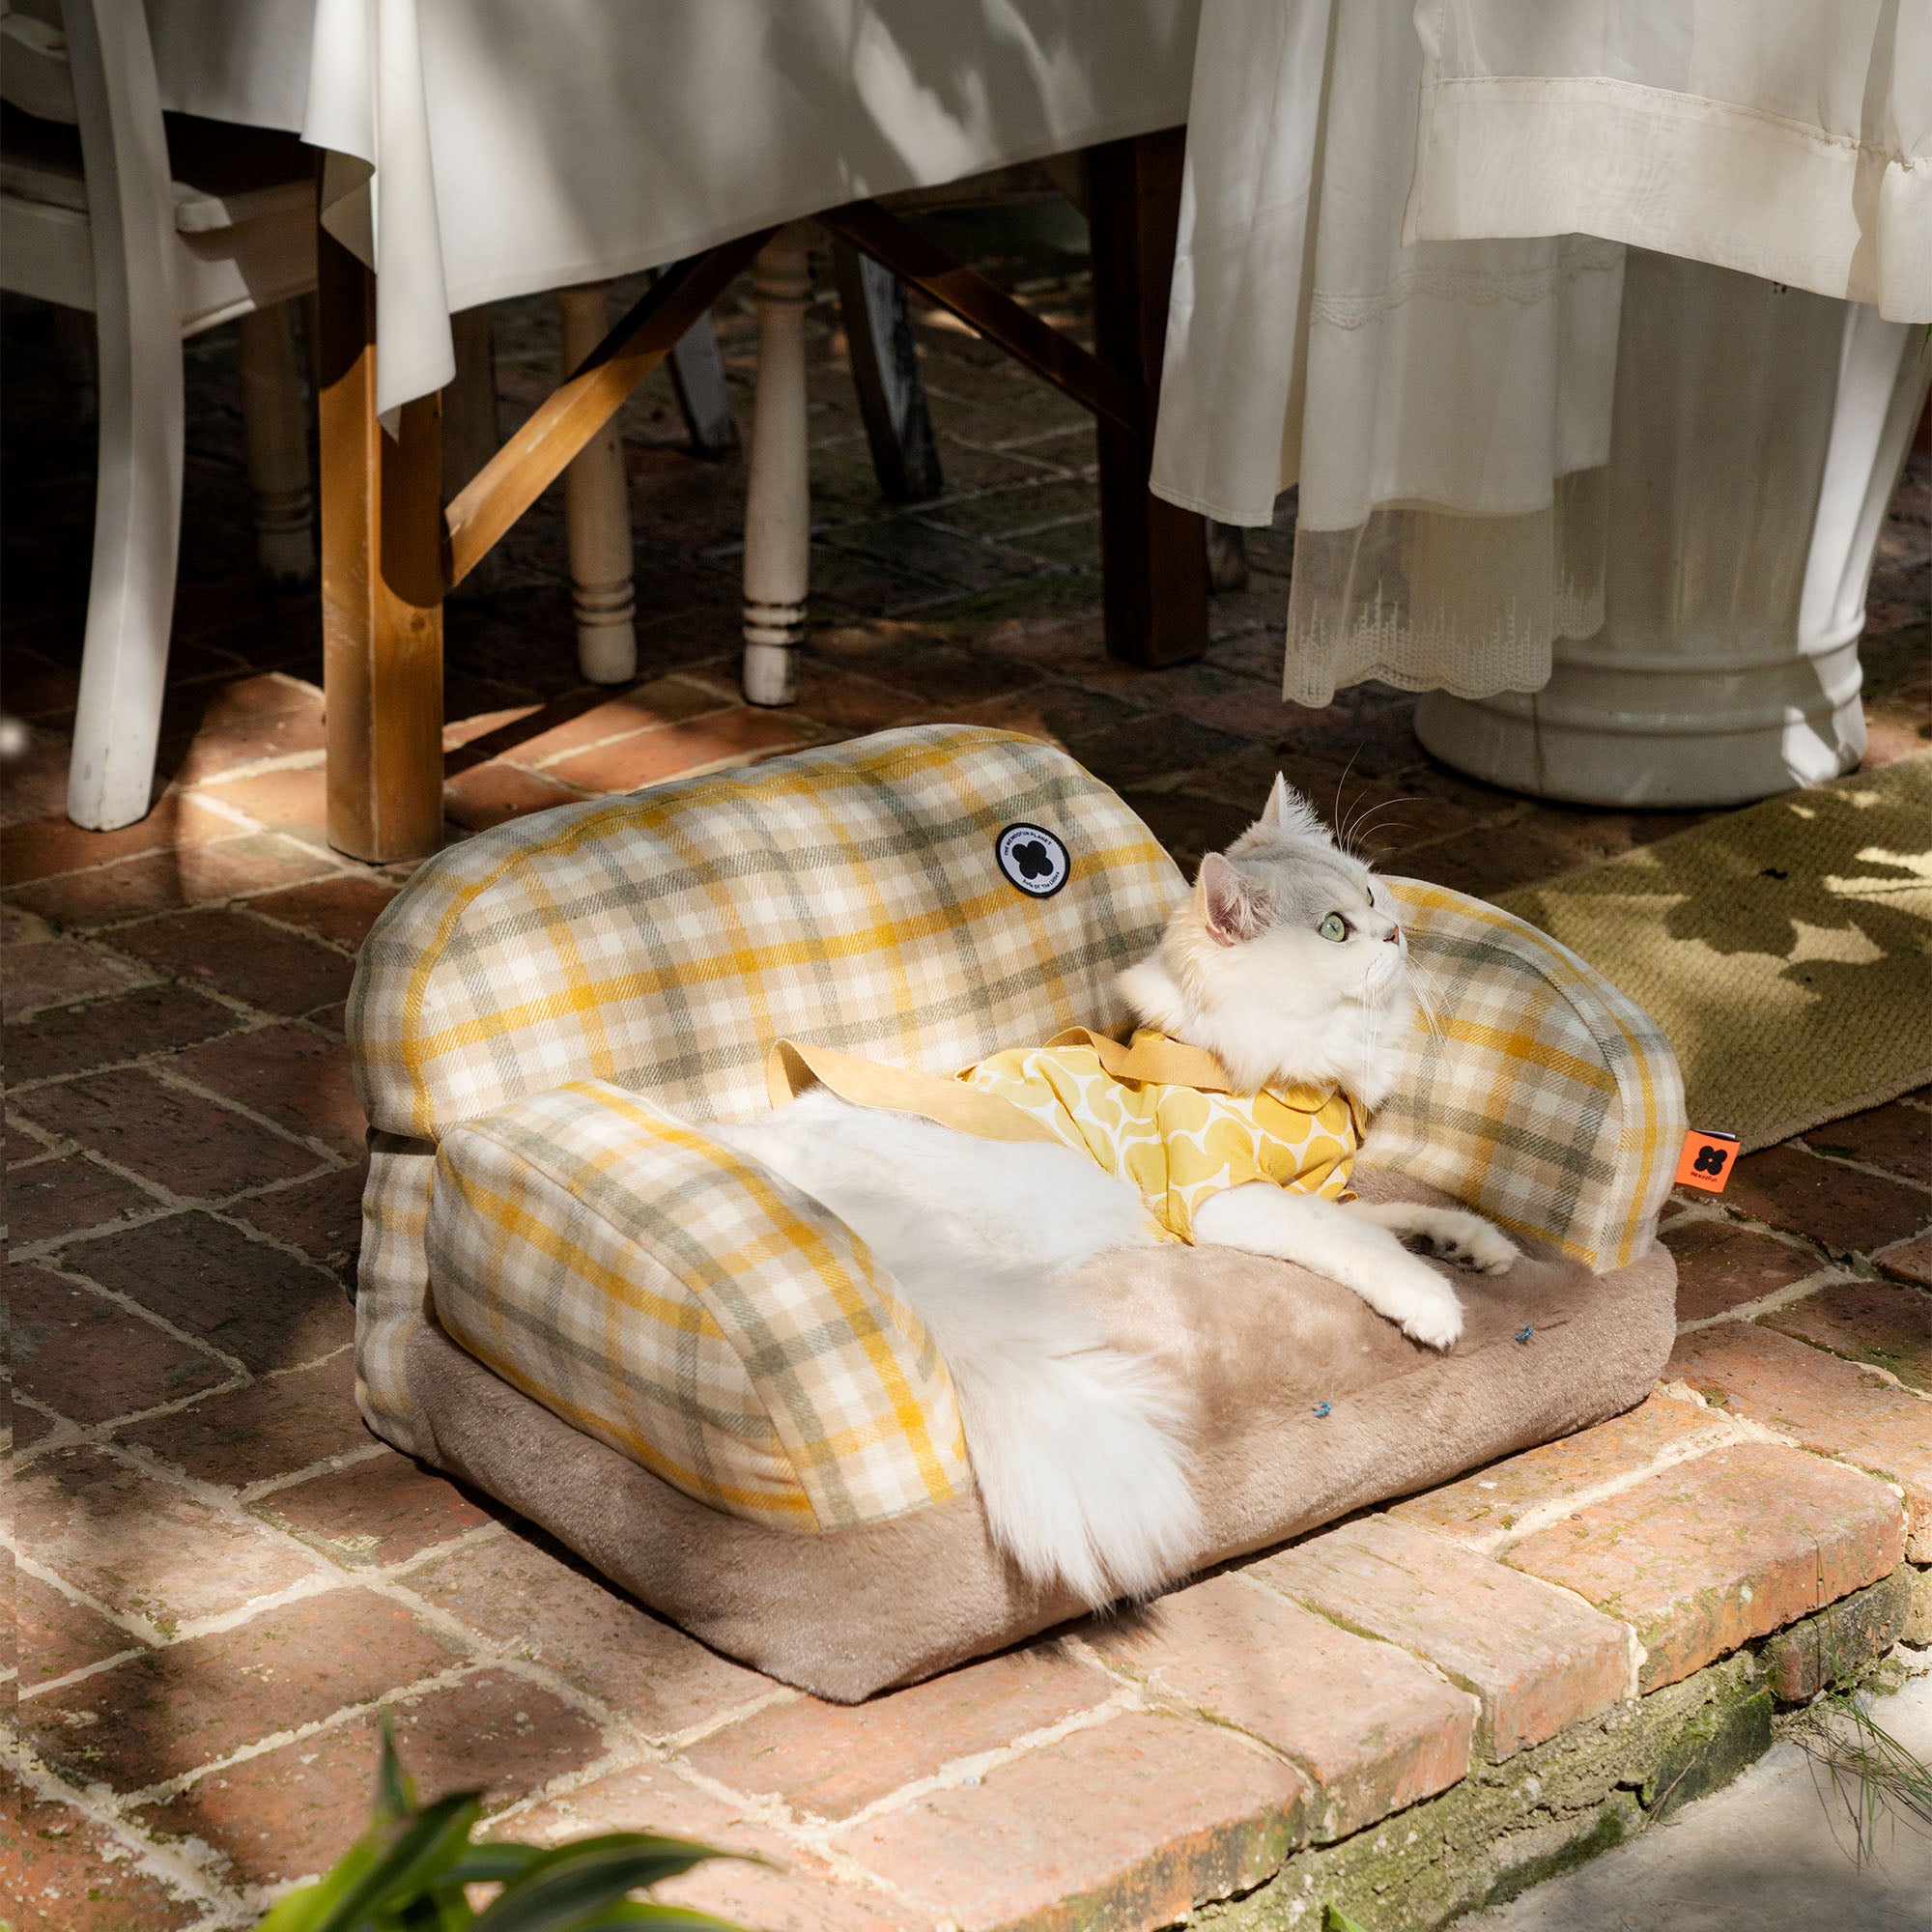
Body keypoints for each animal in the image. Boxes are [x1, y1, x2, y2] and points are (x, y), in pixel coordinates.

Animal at [711, 777, 1507, 1607]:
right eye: (1334, 928)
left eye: (1373, 894)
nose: (1394, 933)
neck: (1290, 1069)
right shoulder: (1232, 1198)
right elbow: (1360, 1242)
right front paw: (1431, 1301)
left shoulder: (1312, 1188)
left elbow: (1395, 1216)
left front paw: (1470, 1244)